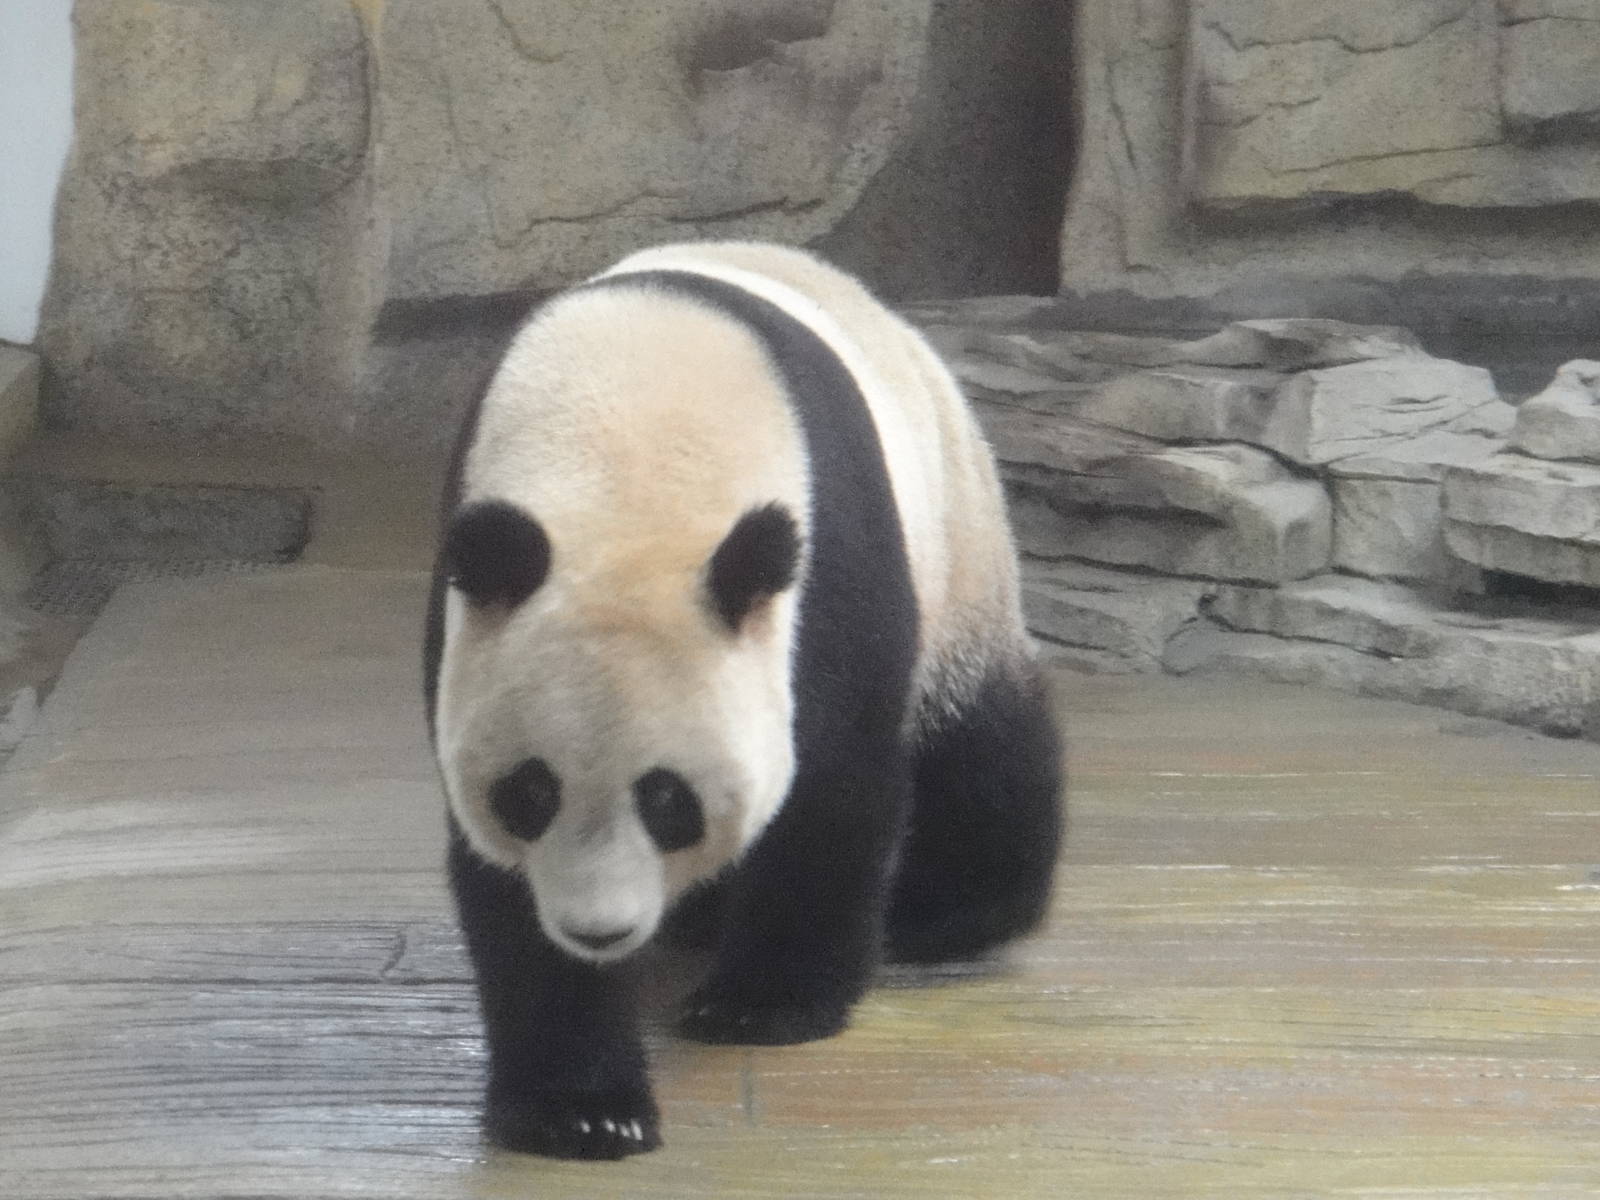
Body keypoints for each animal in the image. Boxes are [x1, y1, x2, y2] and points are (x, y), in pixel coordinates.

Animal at [422, 241, 1063, 1160]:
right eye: (530, 792)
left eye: (667, 799)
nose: (598, 932)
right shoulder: (469, 618)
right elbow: (501, 882)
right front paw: (581, 1108)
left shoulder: (829, 569)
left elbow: (830, 786)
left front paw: (763, 1006)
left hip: (958, 542)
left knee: (979, 743)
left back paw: (942, 910)